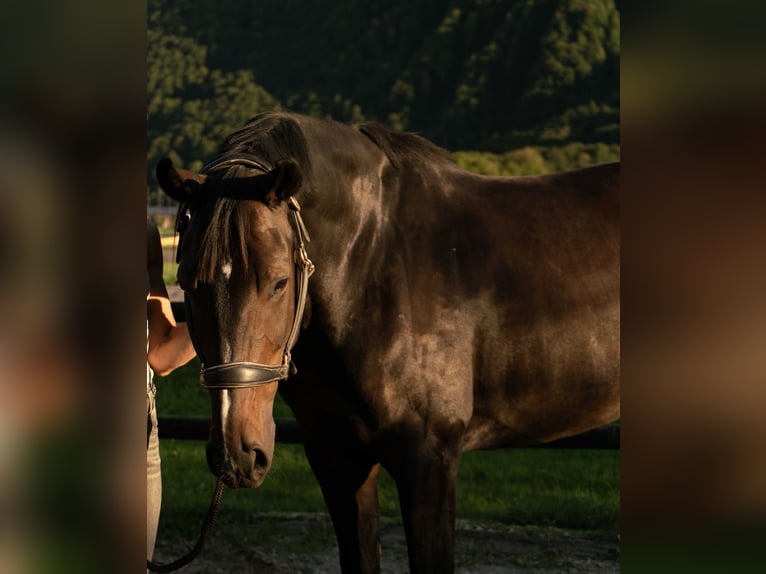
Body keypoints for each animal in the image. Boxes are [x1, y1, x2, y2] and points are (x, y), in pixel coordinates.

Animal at [156, 111, 620, 574]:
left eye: (279, 282)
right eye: (188, 283)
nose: (235, 455)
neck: (374, 264)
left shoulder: (429, 460)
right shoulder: (337, 455)